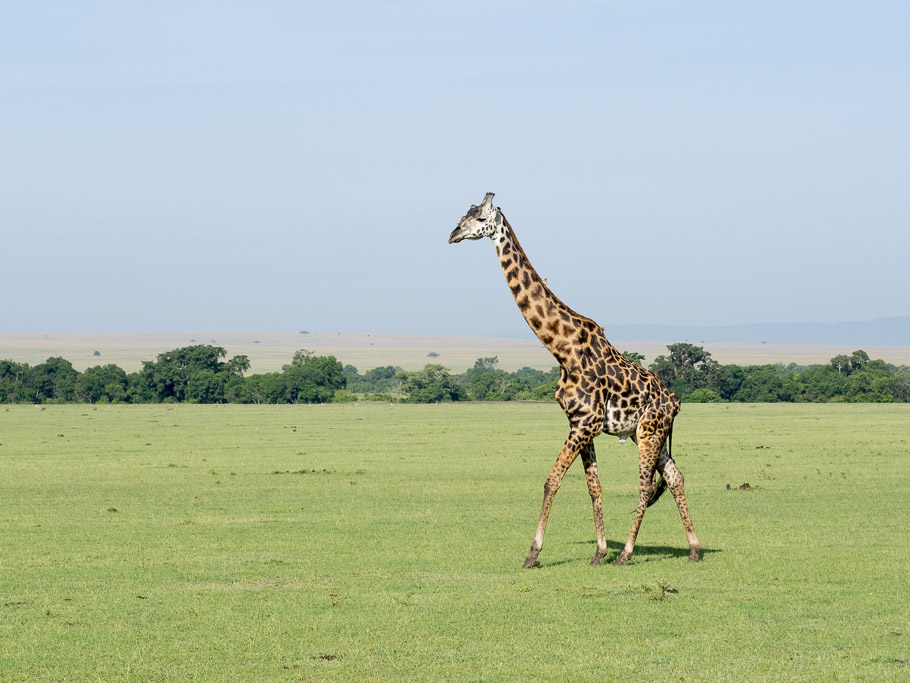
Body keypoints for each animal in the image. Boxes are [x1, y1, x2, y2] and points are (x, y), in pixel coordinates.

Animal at [449, 193, 700, 568]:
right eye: (464, 214)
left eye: (479, 218)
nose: (453, 235)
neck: (562, 348)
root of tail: (676, 401)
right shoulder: (581, 423)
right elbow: (593, 486)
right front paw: (598, 553)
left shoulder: (584, 423)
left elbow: (551, 480)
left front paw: (533, 554)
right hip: (648, 434)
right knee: (674, 477)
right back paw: (694, 549)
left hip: (648, 432)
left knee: (645, 485)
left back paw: (627, 553)